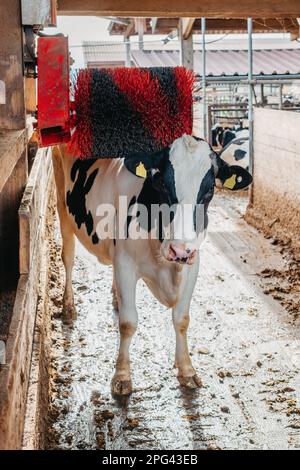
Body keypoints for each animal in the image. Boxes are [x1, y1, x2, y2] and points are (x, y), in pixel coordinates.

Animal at [51, 134, 251, 394]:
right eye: (162, 183)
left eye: (209, 190)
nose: (180, 250)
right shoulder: (125, 265)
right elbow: (128, 323)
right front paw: (122, 376)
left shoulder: (192, 264)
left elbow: (182, 319)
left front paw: (187, 370)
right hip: (61, 200)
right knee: (68, 257)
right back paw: (68, 306)